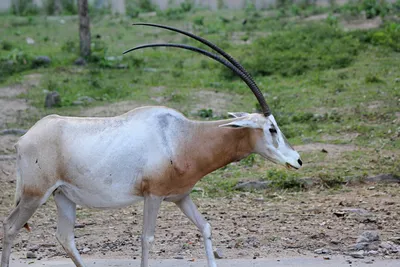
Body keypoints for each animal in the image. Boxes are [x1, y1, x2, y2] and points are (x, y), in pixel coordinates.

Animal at [0, 23, 300, 267]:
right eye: (272, 128)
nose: (297, 160)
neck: (182, 137)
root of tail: (24, 139)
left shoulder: (180, 196)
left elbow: (205, 227)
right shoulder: (153, 196)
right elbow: (147, 239)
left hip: (63, 196)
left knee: (65, 237)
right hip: (34, 194)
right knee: (11, 226)